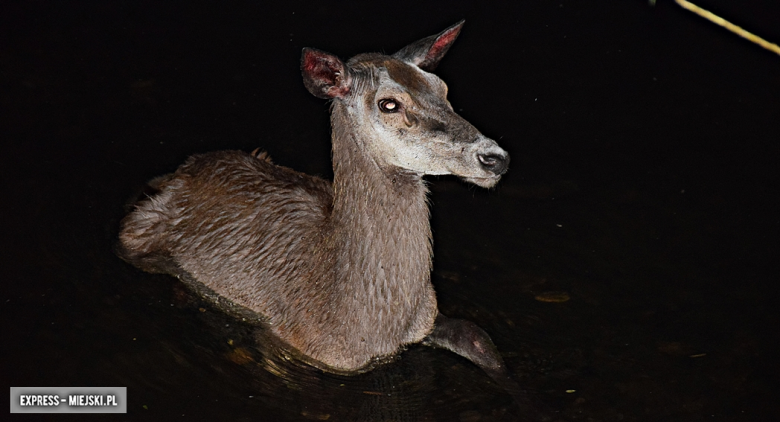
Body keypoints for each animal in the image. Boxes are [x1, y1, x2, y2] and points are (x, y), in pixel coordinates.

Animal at [117, 20, 512, 376]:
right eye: (388, 104)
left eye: (442, 89)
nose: (494, 157)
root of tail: (181, 171)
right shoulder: (294, 342)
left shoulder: (431, 318)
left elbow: (484, 345)